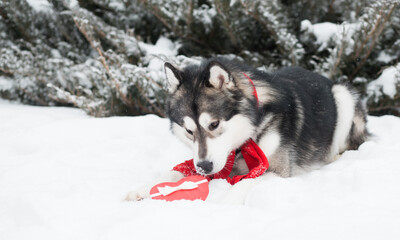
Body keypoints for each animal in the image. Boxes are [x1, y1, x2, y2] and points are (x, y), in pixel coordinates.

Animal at [126, 57, 368, 202]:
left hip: (342, 96)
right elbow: (175, 171)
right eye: (188, 130)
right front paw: (142, 188)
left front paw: (226, 200)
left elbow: (248, 181)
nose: (204, 167)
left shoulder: (278, 171)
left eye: (214, 124)